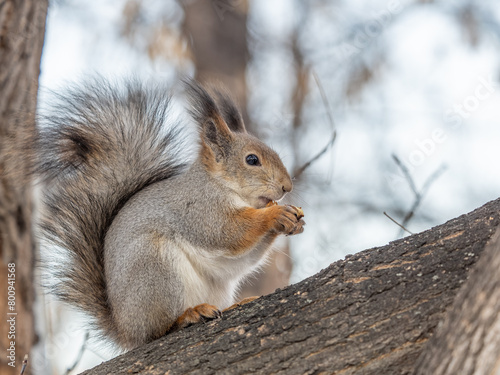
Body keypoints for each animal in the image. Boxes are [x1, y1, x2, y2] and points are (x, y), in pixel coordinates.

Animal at [36, 78, 304, 352]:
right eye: (252, 160)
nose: (287, 187)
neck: (222, 185)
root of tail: (126, 330)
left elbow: (244, 258)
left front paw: (292, 221)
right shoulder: (200, 209)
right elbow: (227, 232)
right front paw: (275, 214)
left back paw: (235, 304)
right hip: (155, 269)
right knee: (158, 330)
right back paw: (189, 315)